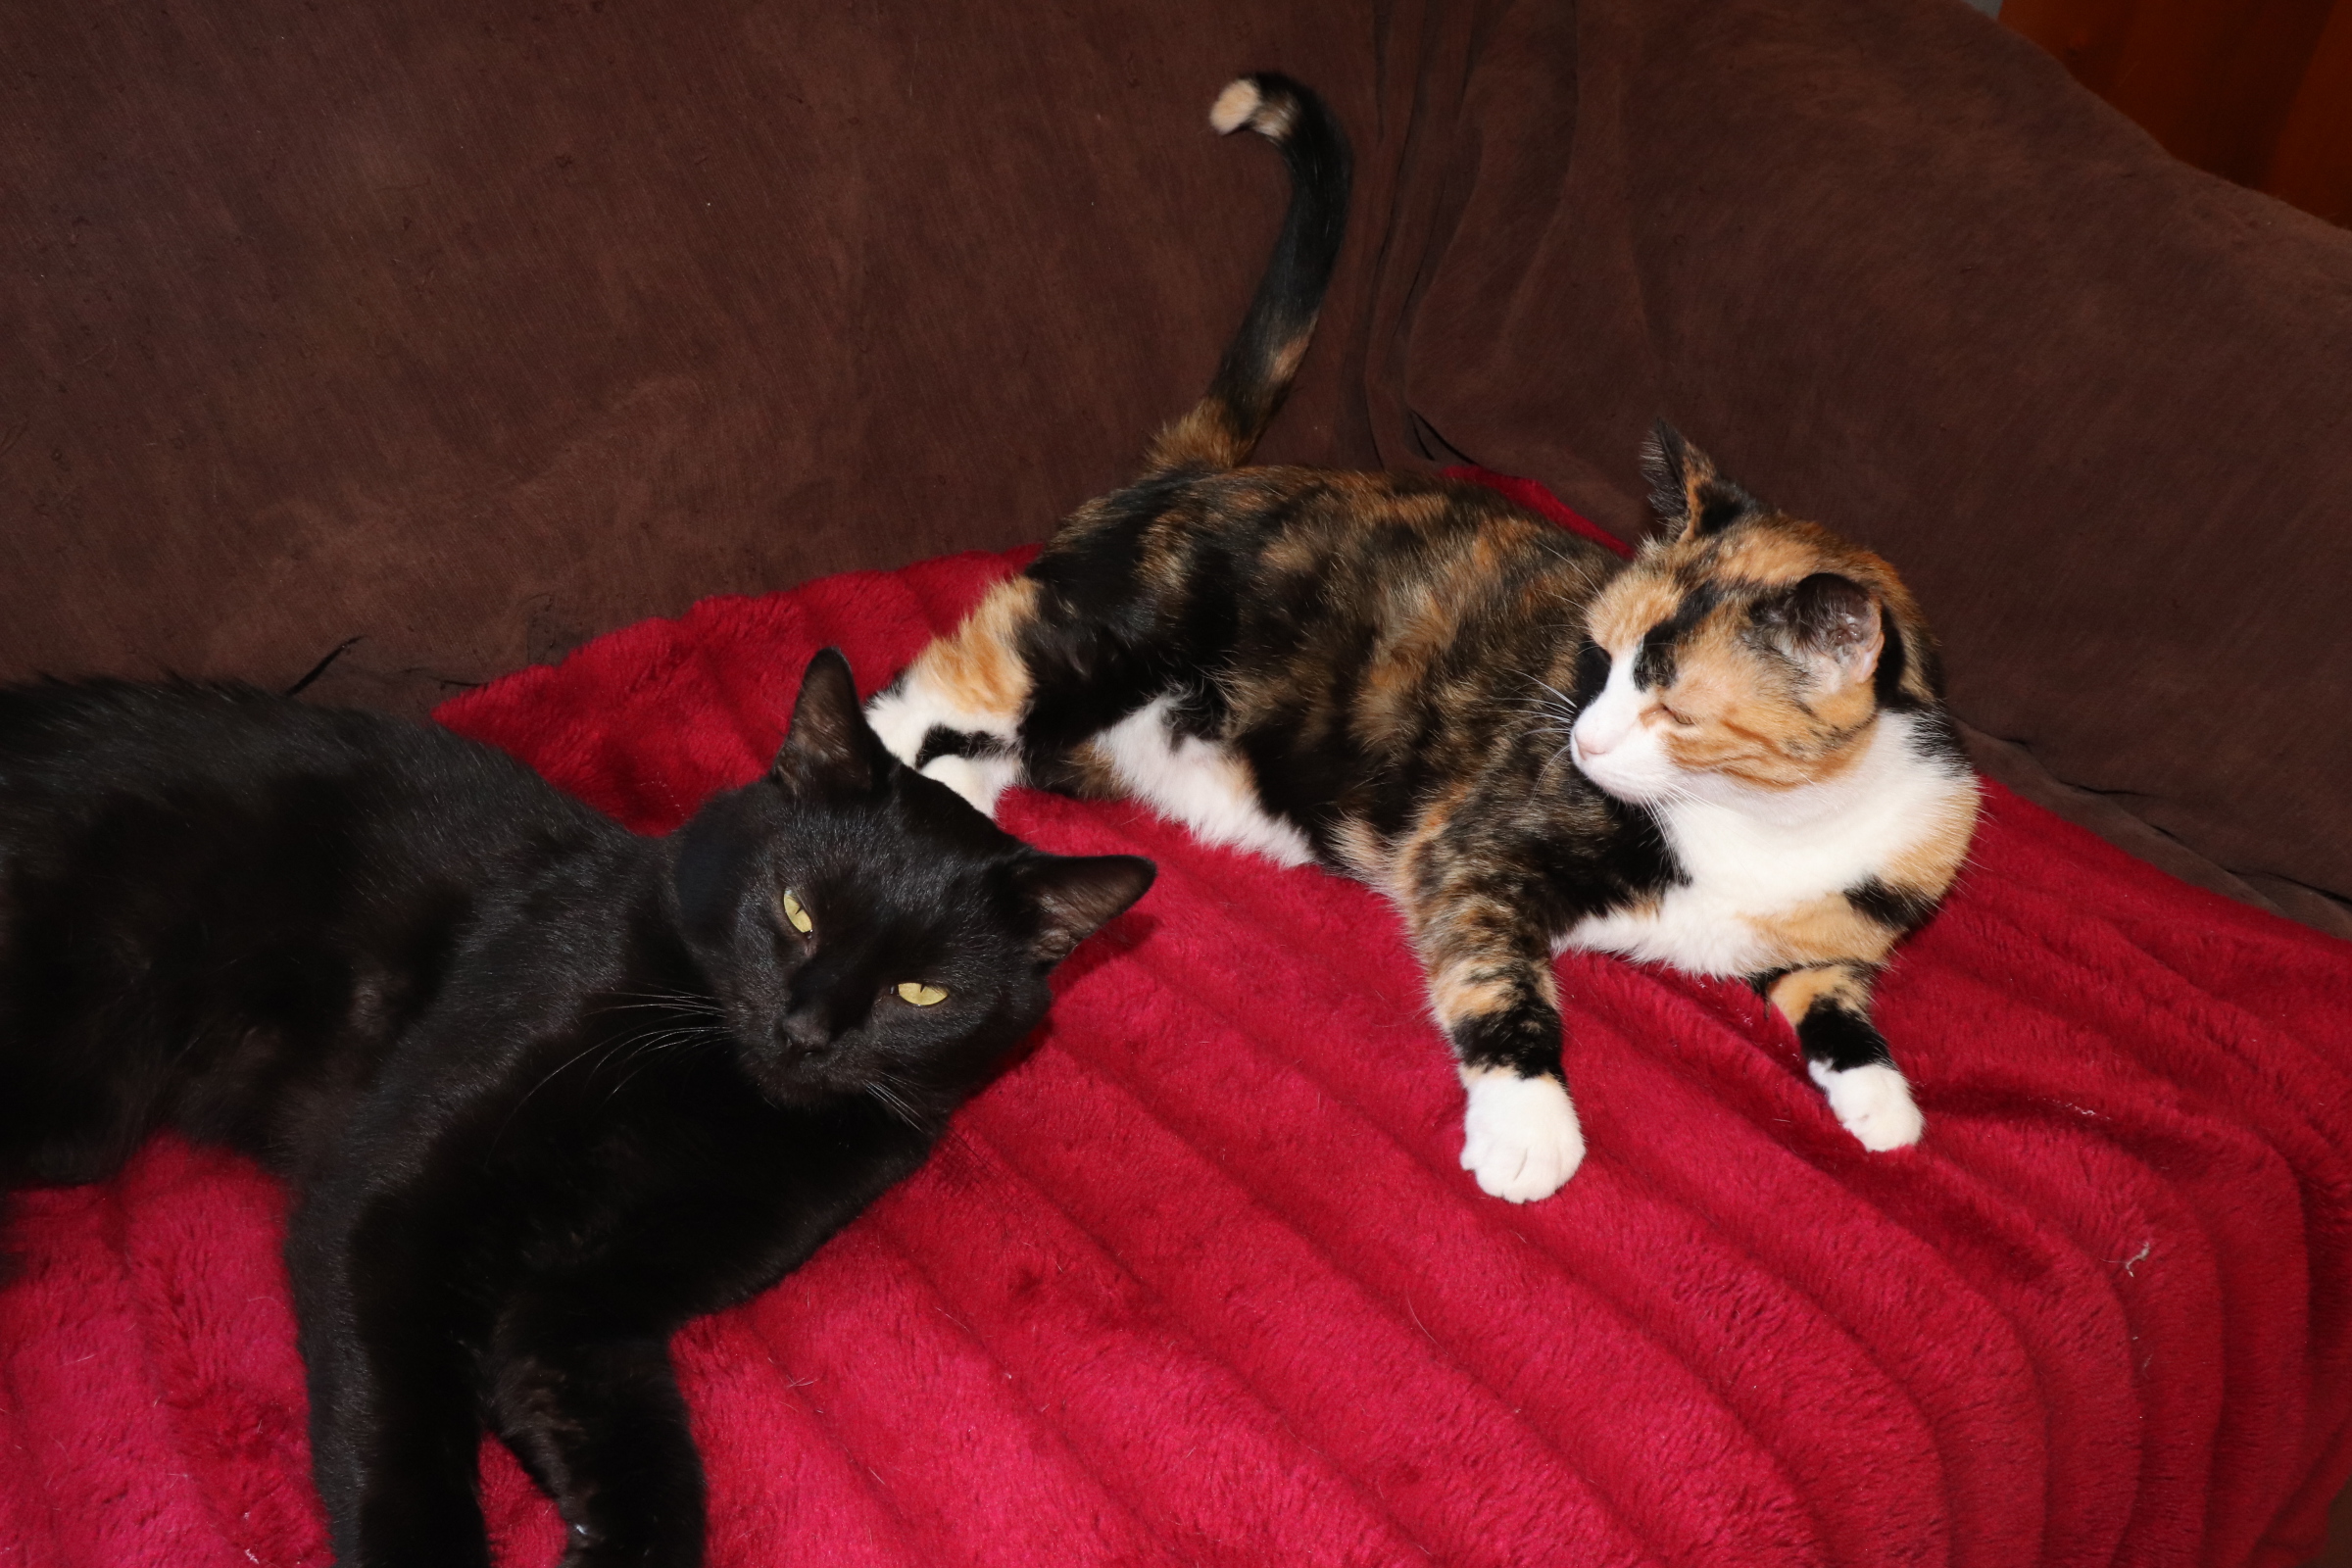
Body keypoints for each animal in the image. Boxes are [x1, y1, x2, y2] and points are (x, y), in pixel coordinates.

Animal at [0, 649, 1153, 1567]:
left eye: (923, 993)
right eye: (797, 911)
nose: (808, 1031)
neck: (713, 1095)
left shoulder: (591, 1304)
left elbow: (637, 1444)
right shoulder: (386, 1200)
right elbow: (398, 1422)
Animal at [865, 73, 1979, 1203]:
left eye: (1670, 703)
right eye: (1597, 659)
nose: (1582, 742)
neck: (1763, 823)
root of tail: (1199, 473)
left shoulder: (1848, 910)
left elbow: (1830, 990)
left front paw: (1882, 1098)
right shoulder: (1475, 849)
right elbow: (1500, 976)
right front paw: (1530, 1123)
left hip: (1099, 736)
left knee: (998, 752)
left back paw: (965, 817)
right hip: (1105, 637)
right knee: (937, 690)